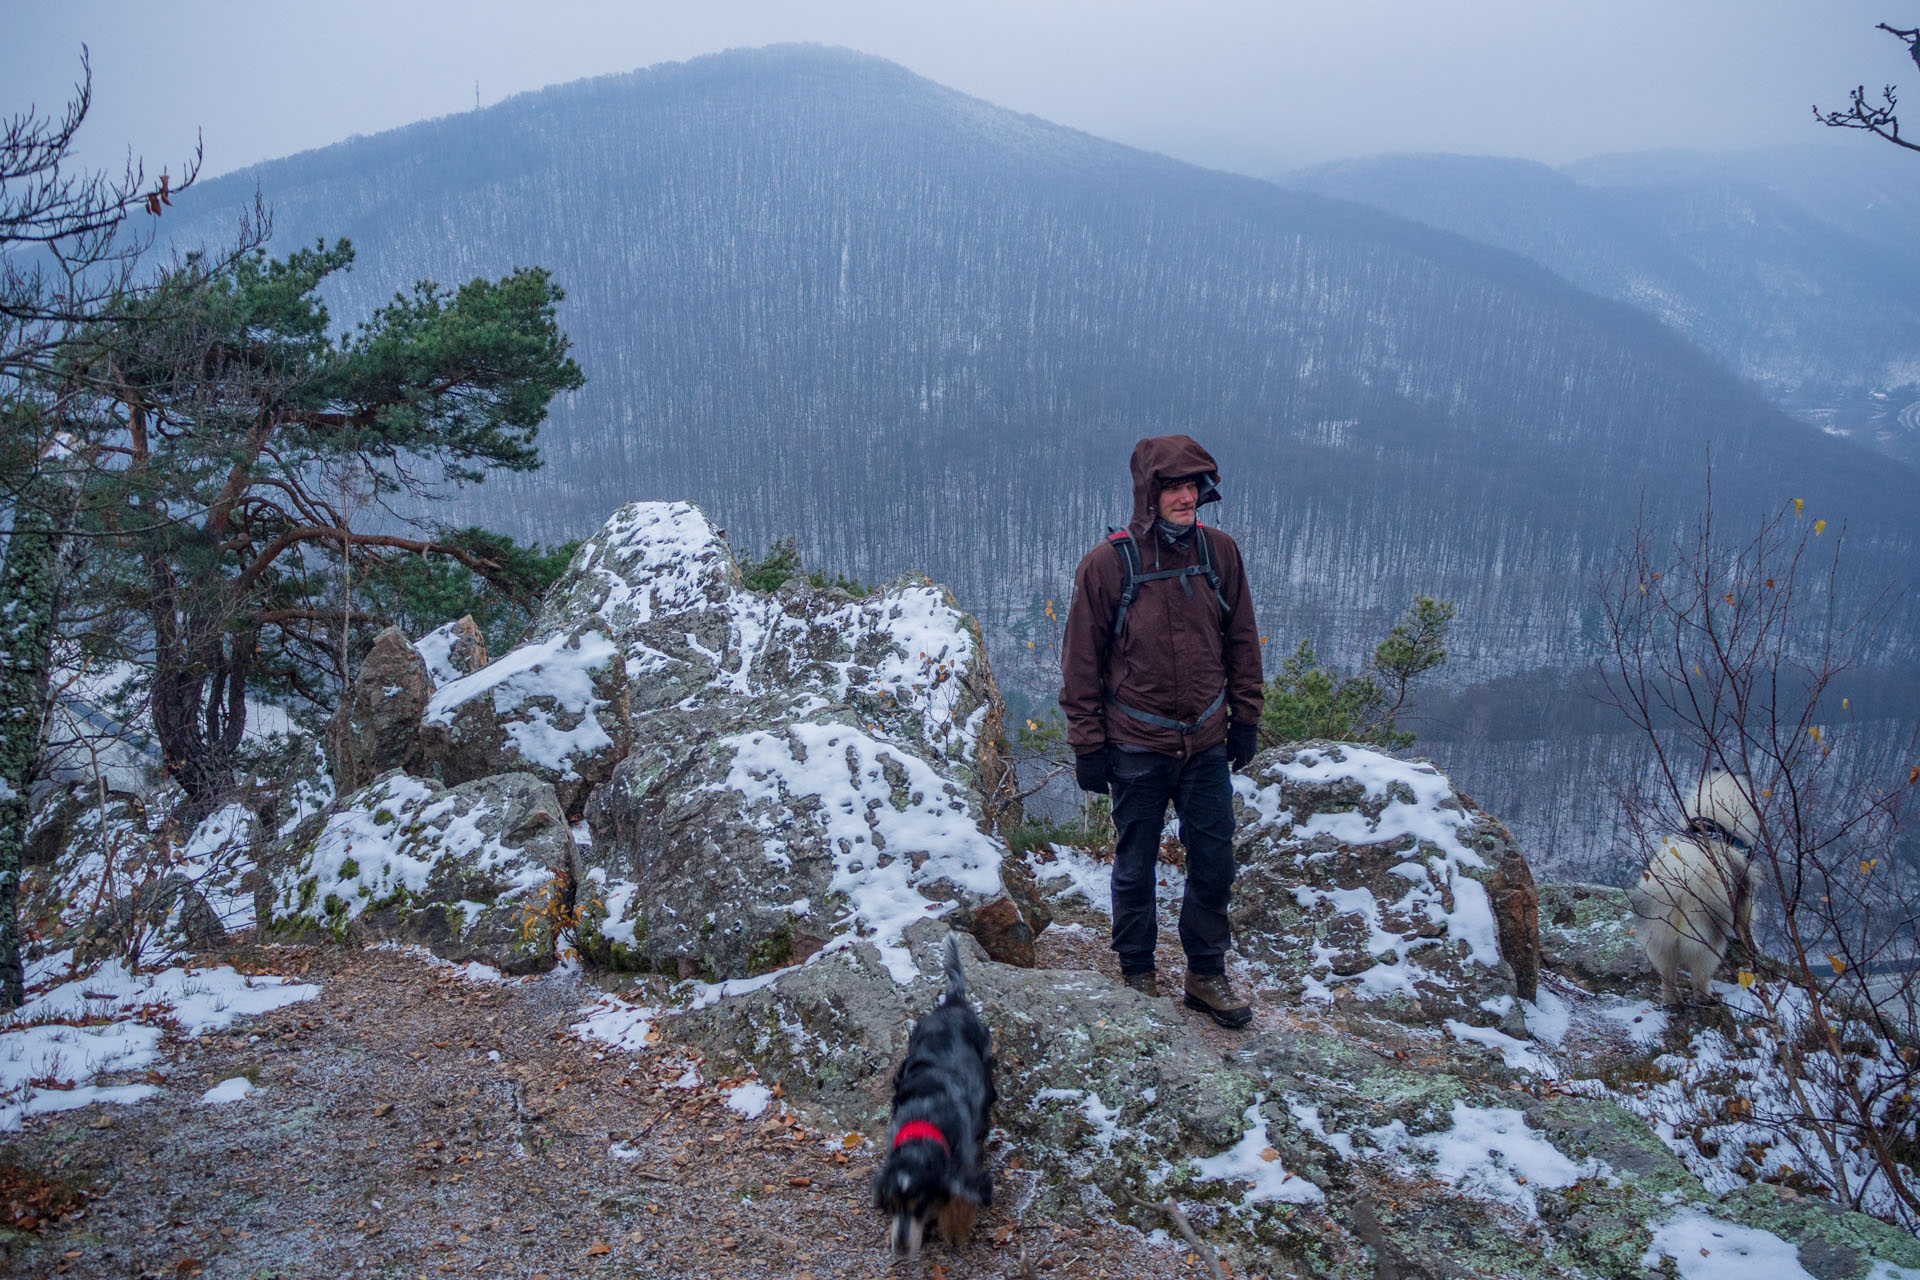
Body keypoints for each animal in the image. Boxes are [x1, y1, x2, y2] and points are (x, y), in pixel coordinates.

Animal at [875, 936, 998, 1258]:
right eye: (892, 1205)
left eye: (919, 1206)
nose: (900, 1248)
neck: (924, 1118)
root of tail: (953, 1001)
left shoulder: (963, 1156)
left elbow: (961, 1195)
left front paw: (955, 1230)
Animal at [1628, 775, 1758, 1005]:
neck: (1713, 826)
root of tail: (1682, 883)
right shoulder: (1744, 898)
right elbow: (1747, 926)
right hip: (1706, 940)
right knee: (1700, 975)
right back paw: (1706, 998)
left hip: (1659, 936)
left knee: (1667, 973)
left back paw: (1672, 998)